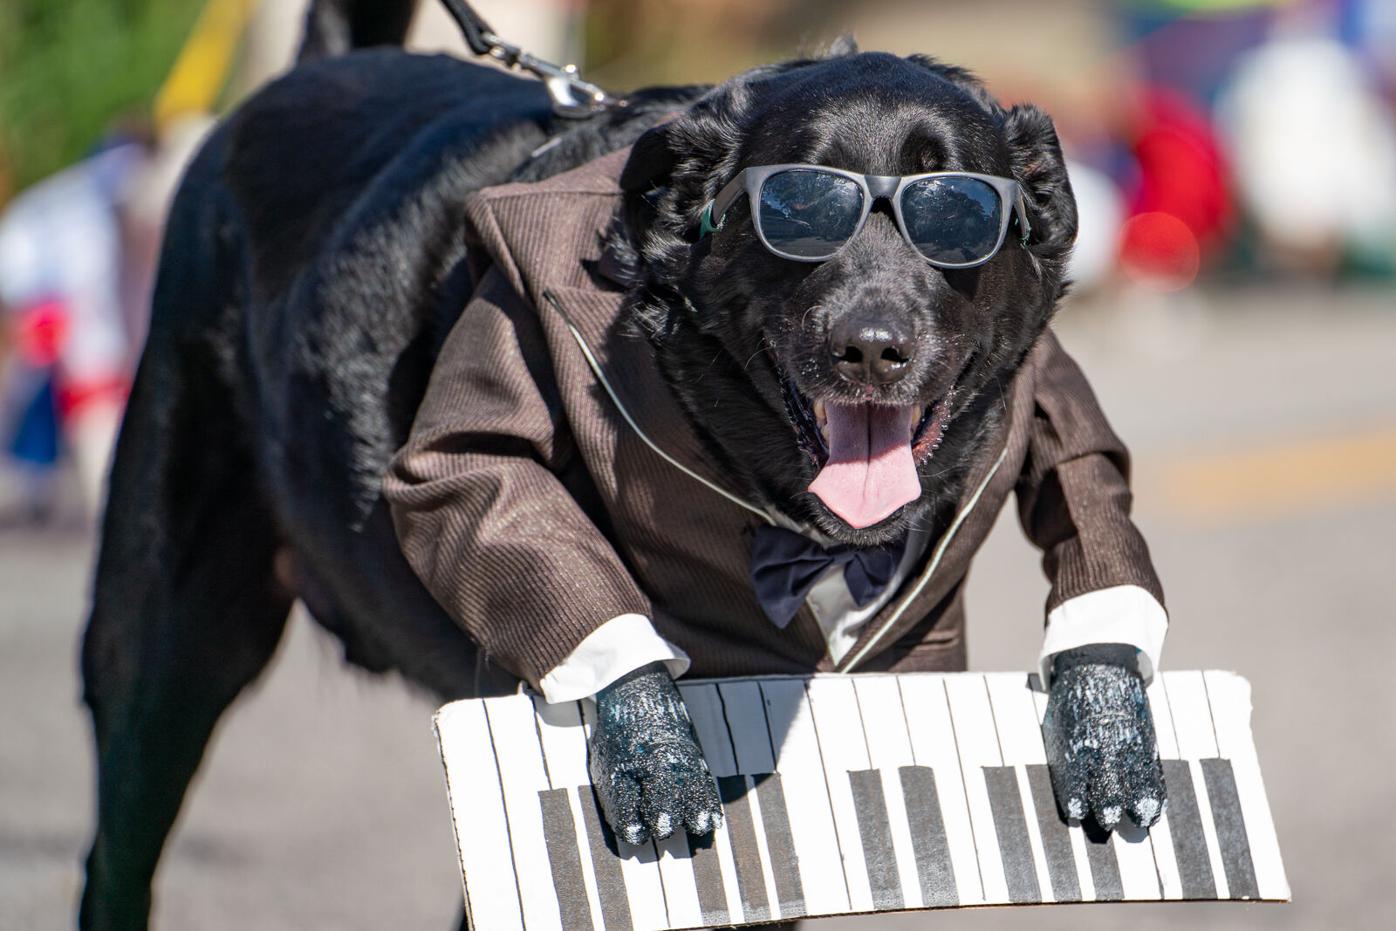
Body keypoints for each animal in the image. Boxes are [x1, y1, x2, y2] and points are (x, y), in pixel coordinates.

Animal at [79, 3, 1167, 926]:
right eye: (795, 209)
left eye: (956, 214)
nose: (870, 346)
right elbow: (484, 487)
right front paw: (652, 745)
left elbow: (1086, 483)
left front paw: (1106, 728)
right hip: (169, 635)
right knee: (117, 846)